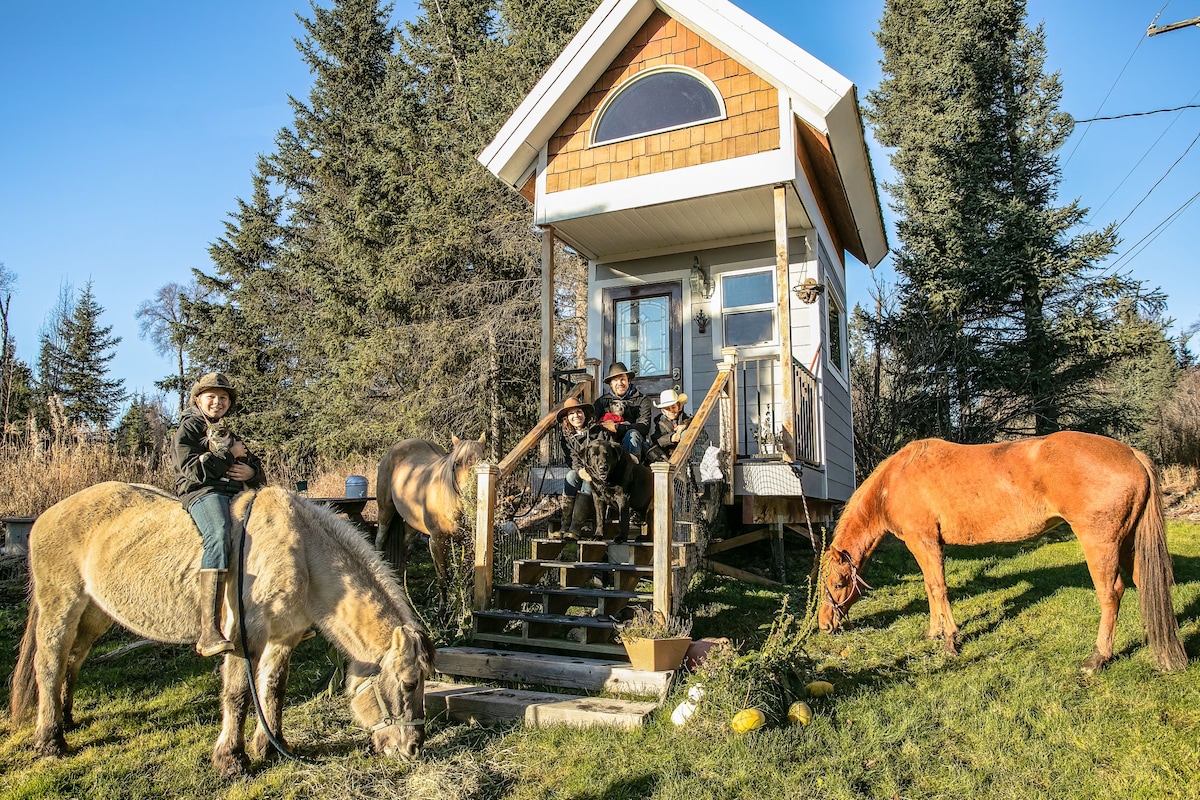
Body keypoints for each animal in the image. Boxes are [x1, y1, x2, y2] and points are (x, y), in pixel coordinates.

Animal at [9, 482, 436, 777]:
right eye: (409, 683)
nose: (414, 748)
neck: (302, 552)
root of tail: (47, 515)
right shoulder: (246, 636)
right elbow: (238, 695)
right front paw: (231, 759)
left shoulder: (284, 638)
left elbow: (273, 689)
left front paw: (271, 746)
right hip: (60, 606)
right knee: (49, 664)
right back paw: (50, 741)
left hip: (95, 613)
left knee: (73, 660)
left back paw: (66, 720)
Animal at [376, 434, 484, 609]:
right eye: (457, 463)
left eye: (482, 461)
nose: (471, 494)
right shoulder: (436, 542)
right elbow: (443, 579)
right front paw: (443, 613)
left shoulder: (469, 543)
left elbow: (469, 579)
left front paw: (466, 609)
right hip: (385, 512)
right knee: (379, 542)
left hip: (410, 526)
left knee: (404, 551)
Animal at [816, 431, 1190, 676]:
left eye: (837, 585)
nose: (824, 625)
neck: (895, 481)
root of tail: (1131, 453)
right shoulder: (924, 545)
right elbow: (929, 588)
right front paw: (935, 631)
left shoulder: (924, 542)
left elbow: (938, 588)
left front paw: (950, 639)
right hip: (1129, 543)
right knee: (1145, 584)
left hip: (1100, 543)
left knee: (1112, 594)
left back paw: (1098, 657)